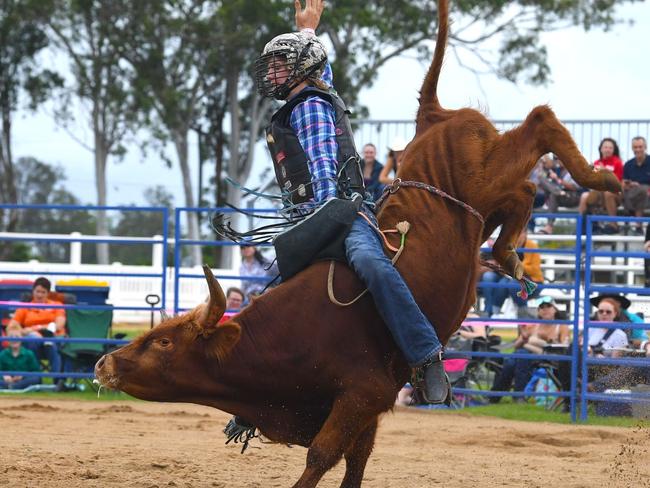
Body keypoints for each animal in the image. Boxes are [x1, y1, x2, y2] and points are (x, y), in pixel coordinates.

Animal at [95, 0, 616, 488]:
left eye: (163, 342)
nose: (104, 362)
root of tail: (431, 117)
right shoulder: (364, 411)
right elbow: (356, 460)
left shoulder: (362, 394)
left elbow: (322, 456)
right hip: (483, 207)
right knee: (521, 193)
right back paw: (509, 252)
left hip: (485, 174)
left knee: (539, 126)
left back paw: (596, 178)